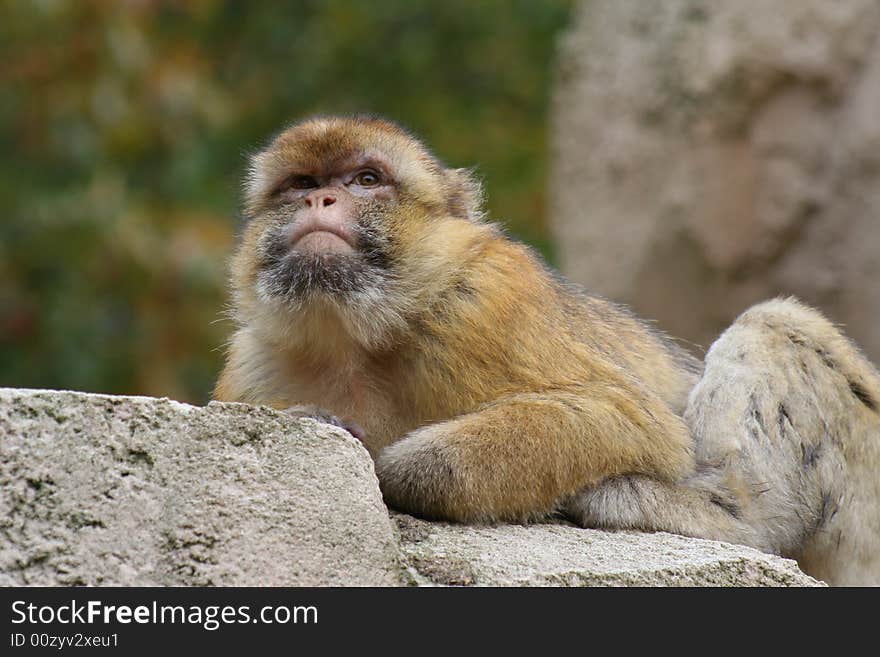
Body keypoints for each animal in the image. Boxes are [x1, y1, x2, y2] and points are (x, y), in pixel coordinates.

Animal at [215, 114, 880, 584]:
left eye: (366, 180)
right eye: (300, 184)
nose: (318, 201)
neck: (354, 335)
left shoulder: (488, 302)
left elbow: (629, 416)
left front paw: (399, 470)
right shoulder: (252, 363)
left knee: (774, 322)